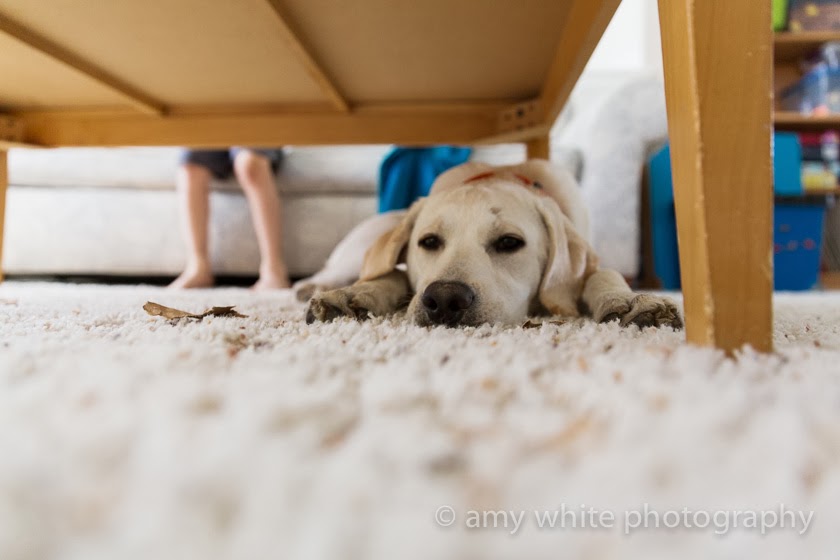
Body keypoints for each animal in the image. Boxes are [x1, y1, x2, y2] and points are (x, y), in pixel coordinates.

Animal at [298, 159, 682, 329]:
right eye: (429, 241)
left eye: (509, 242)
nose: (445, 299)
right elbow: (390, 275)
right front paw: (353, 294)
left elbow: (605, 274)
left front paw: (631, 299)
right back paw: (315, 287)